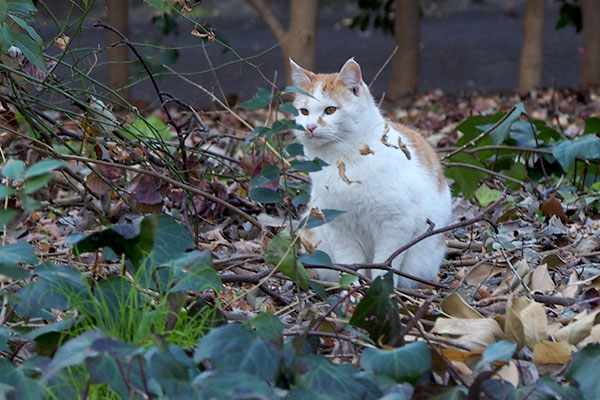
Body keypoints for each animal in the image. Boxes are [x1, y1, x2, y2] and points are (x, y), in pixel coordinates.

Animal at [290, 57, 450, 288]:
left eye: (330, 110)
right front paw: (352, 290)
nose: (310, 126)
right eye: (304, 112)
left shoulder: (395, 225)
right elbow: (349, 263)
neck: (343, 163)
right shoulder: (339, 228)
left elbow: (384, 263)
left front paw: (380, 288)